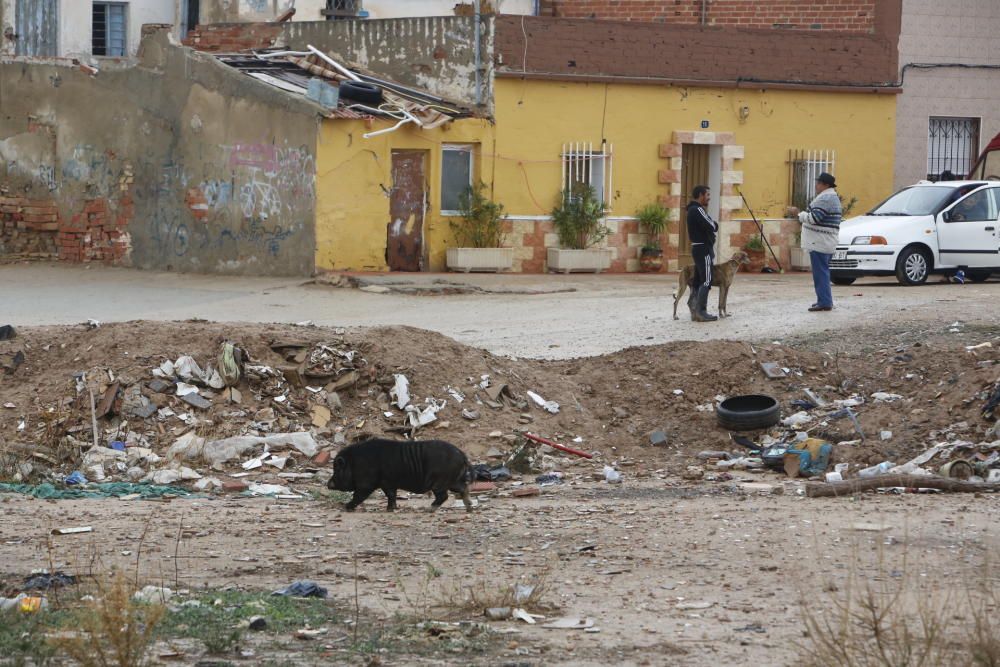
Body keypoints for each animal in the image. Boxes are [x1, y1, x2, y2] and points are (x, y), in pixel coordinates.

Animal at [326, 436, 470, 516]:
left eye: (337, 468)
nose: (328, 484)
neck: (354, 463)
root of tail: (461, 454)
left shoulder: (367, 483)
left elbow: (358, 495)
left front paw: (346, 507)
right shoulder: (387, 483)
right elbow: (391, 495)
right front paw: (391, 509)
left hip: (440, 481)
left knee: (443, 496)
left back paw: (429, 509)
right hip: (454, 480)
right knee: (463, 489)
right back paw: (469, 509)